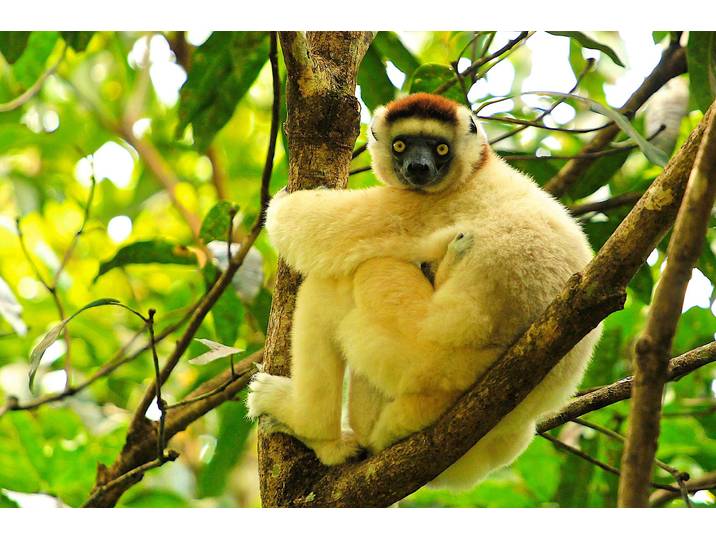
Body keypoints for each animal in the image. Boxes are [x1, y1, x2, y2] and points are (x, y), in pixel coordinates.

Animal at [246, 93, 601, 487]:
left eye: (440, 148)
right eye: (401, 145)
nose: (418, 169)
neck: (477, 169)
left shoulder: (419, 206)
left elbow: (301, 225)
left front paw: (286, 202)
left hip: (415, 362)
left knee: (339, 285)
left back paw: (311, 427)